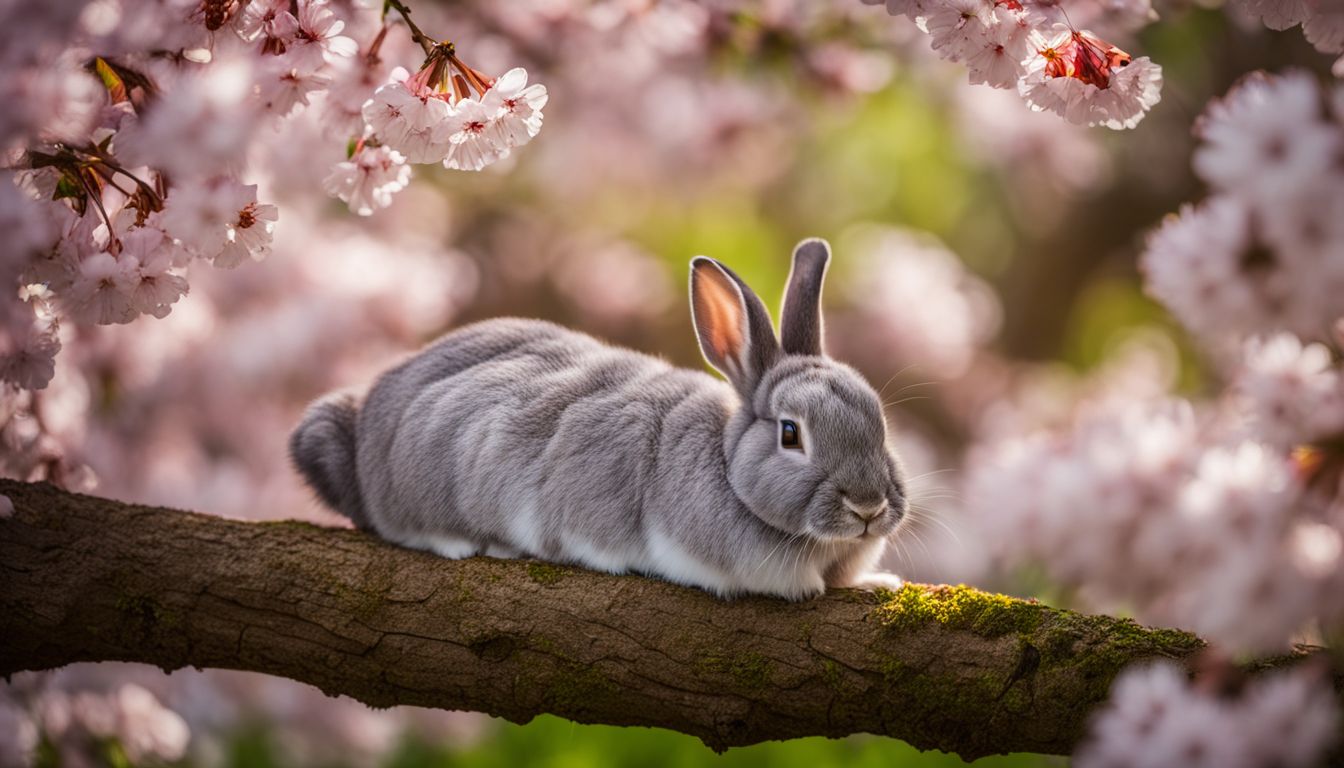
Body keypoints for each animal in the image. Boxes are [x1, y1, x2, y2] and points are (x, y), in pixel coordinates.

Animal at [288, 240, 908, 599]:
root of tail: (366, 425)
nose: (869, 508)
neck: (728, 465)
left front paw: (877, 582)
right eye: (790, 433)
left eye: (879, 421)